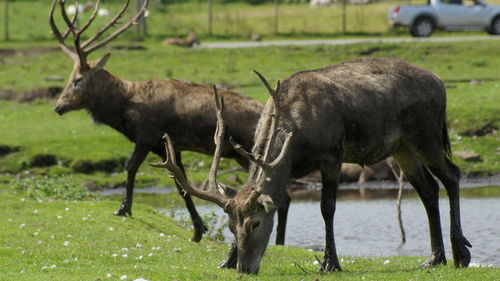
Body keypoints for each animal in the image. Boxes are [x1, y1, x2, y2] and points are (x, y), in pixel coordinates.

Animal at [48, 0, 264, 241]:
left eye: (78, 80)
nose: (58, 106)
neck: (124, 110)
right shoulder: (168, 147)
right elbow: (180, 182)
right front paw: (198, 228)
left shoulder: (147, 136)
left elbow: (130, 166)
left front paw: (123, 208)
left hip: (249, 153)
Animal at [153, 59, 472, 274]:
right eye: (231, 227)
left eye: (256, 223)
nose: (245, 267)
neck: (294, 138)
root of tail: (440, 83)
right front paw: (226, 261)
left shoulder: (332, 155)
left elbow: (326, 208)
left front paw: (330, 263)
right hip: (402, 147)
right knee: (428, 189)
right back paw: (434, 258)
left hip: (426, 133)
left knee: (452, 174)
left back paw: (460, 255)